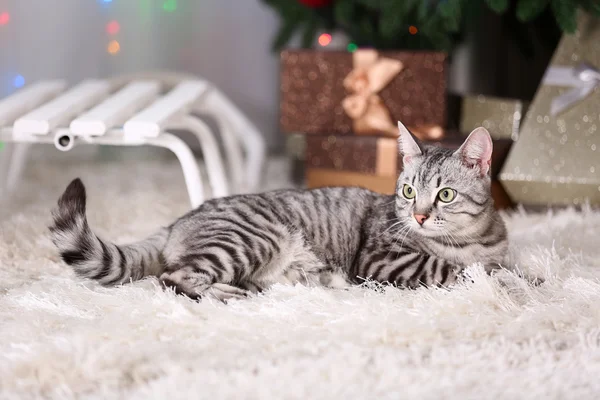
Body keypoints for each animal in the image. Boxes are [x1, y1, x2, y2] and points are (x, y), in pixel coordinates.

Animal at [50, 121, 506, 300]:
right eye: (409, 191)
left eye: (444, 195)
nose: (419, 216)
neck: (471, 238)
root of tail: (178, 220)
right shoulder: (382, 261)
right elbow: (453, 268)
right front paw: (501, 279)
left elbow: (490, 264)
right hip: (252, 239)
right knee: (173, 280)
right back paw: (230, 296)